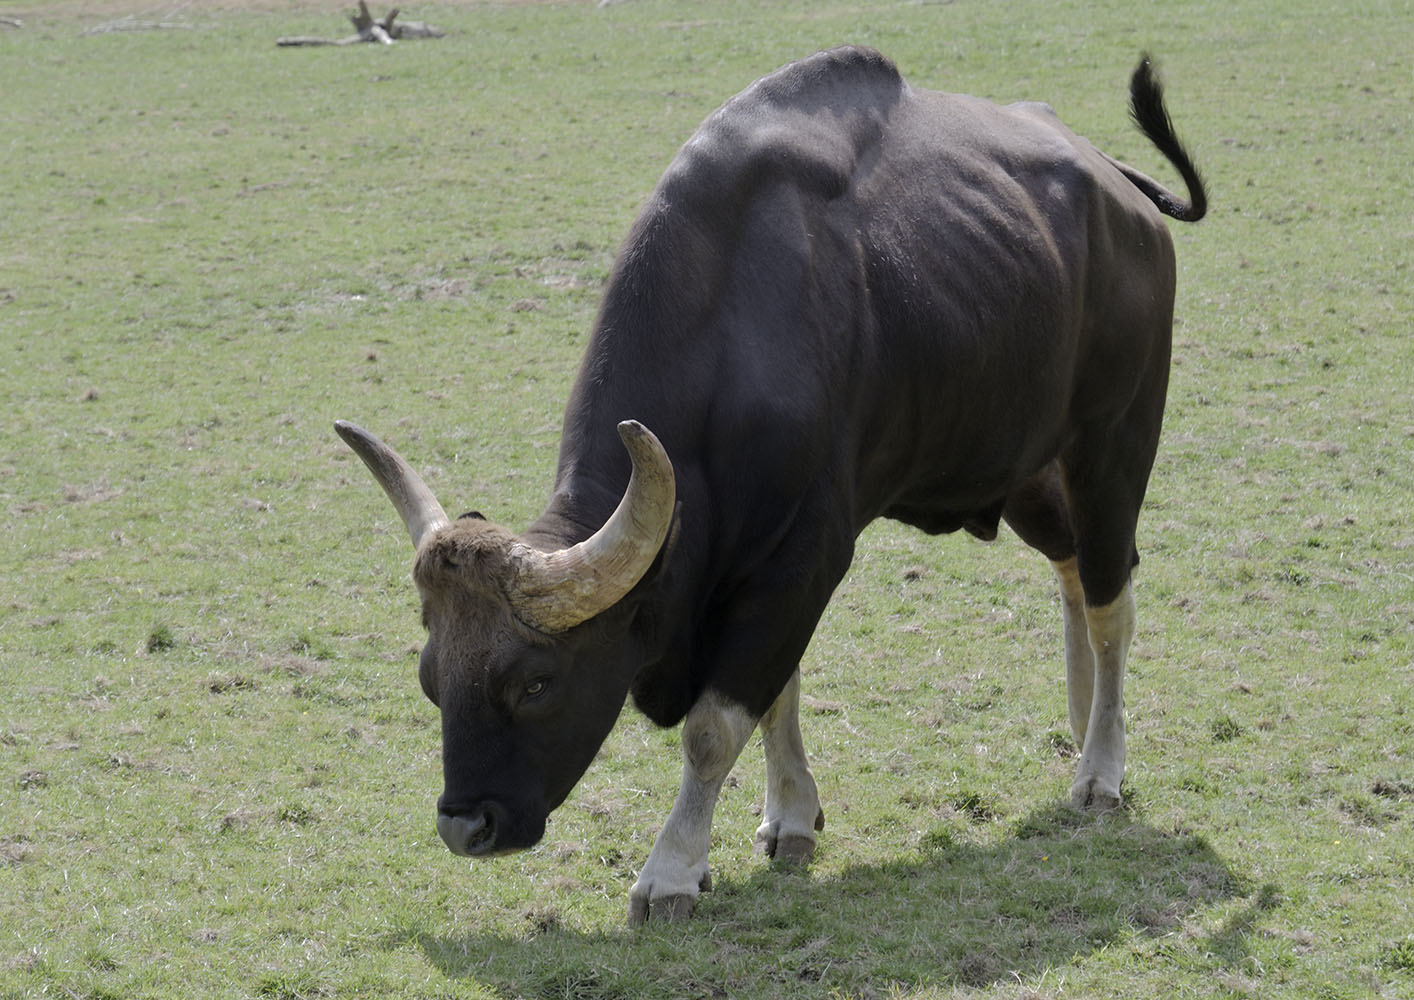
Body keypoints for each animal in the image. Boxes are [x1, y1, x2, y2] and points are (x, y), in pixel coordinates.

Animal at [335, 46, 1207, 924]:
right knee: (1077, 575)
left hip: (1112, 449)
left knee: (1112, 601)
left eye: (535, 681)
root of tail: (1125, 193)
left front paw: (672, 870)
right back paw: (1086, 721)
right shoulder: (759, 571)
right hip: (1026, 472)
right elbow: (779, 692)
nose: (465, 825)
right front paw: (790, 815)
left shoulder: (802, 560)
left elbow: (715, 726)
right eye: (430, 679)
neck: (732, 332)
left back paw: (1100, 769)